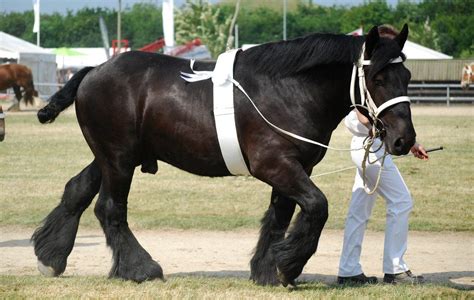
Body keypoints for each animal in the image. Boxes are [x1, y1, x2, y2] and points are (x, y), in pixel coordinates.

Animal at [30, 24, 414, 284]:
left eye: (407, 75)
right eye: (378, 78)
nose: (404, 140)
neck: (287, 89)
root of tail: (93, 71)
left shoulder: (292, 169)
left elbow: (279, 218)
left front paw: (267, 269)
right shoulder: (275, 166)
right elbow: (317, 206)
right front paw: (287, 264)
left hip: (112, 157)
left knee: (78, 190)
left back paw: (51, 255)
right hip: (119, 159)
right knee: (110, 209)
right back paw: (141, 268)